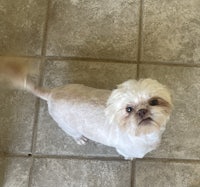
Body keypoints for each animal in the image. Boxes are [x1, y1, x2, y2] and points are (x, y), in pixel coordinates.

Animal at [0, 57, 172, 159]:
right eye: (128, 109)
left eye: (154, 101)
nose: (142, 111)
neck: (144, 134)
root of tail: (53, 93)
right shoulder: (126, 150)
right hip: (67, 126)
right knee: (73, 134)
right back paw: (80, 139)